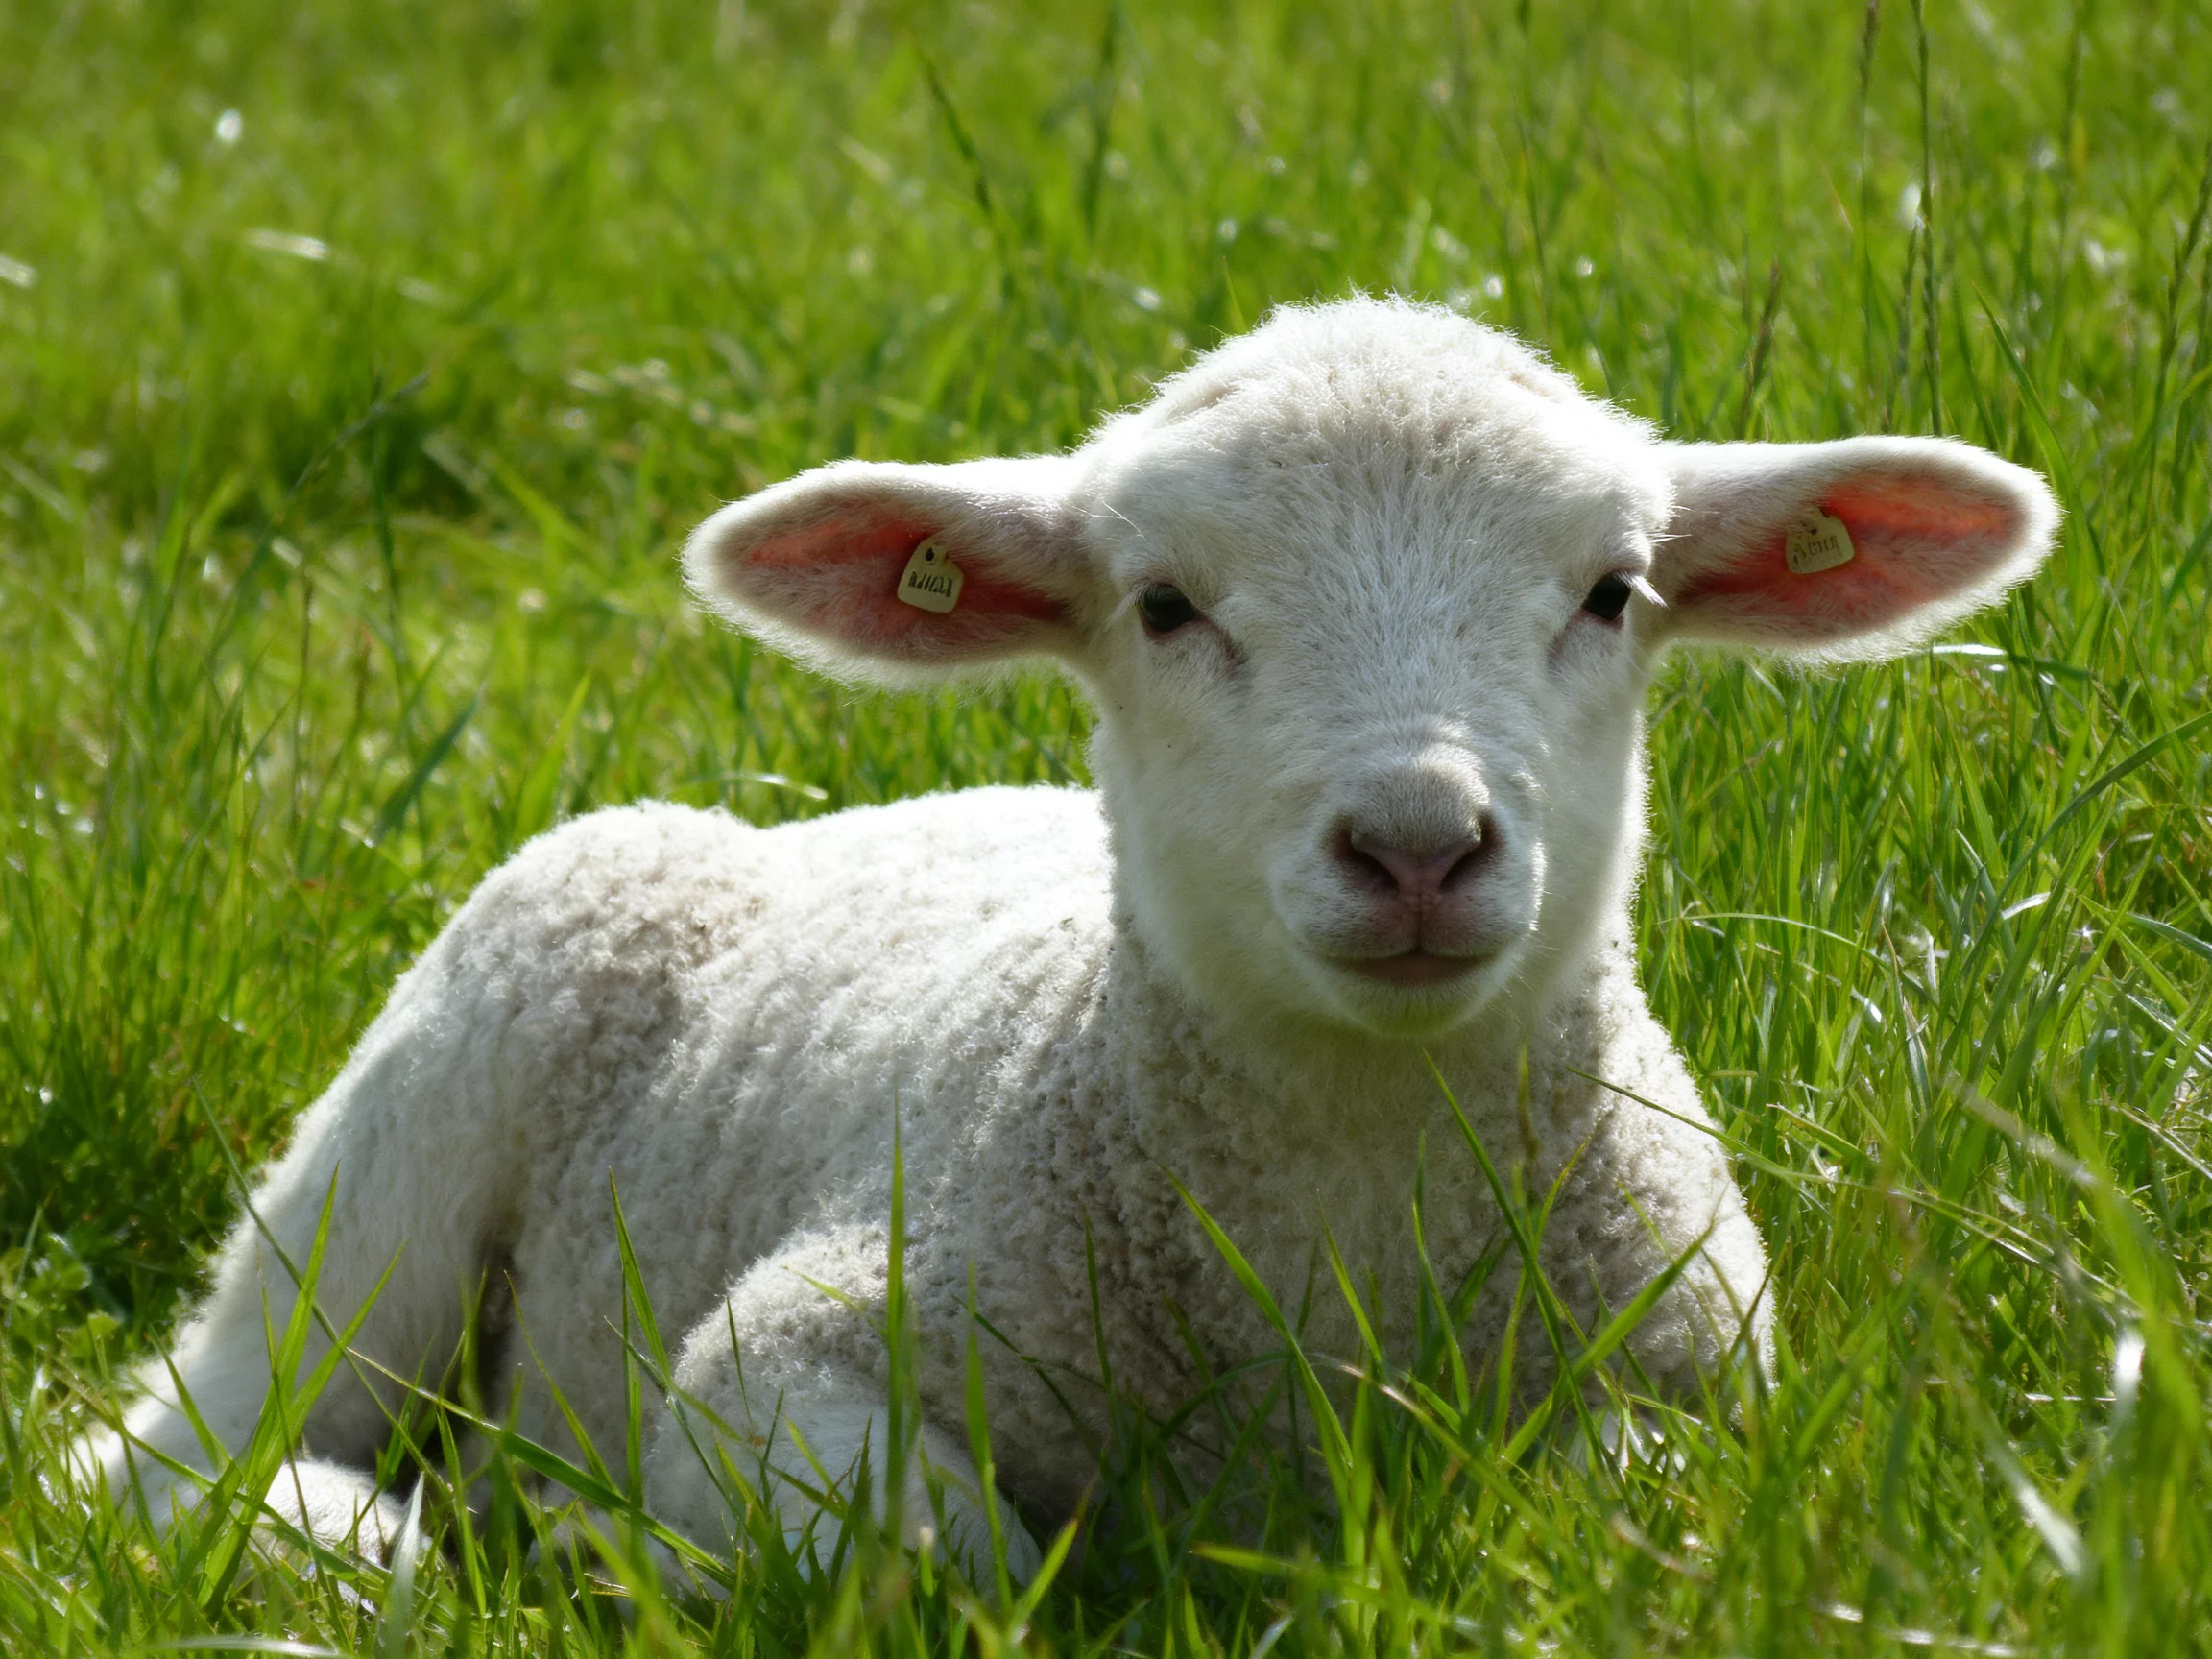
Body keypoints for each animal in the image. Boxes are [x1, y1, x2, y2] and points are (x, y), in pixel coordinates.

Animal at [78, 296, 2057, 1583]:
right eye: (1164, 606)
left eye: (1610, 591)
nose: (1416, 844)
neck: (1342, 1205)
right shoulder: (787, 1344)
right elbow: (943, 1555)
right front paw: (627, 1547)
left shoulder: (1699, 1381)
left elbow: (1607, 1515)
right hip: (410, 1130)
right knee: (167, 1447)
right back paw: (360, 1536)